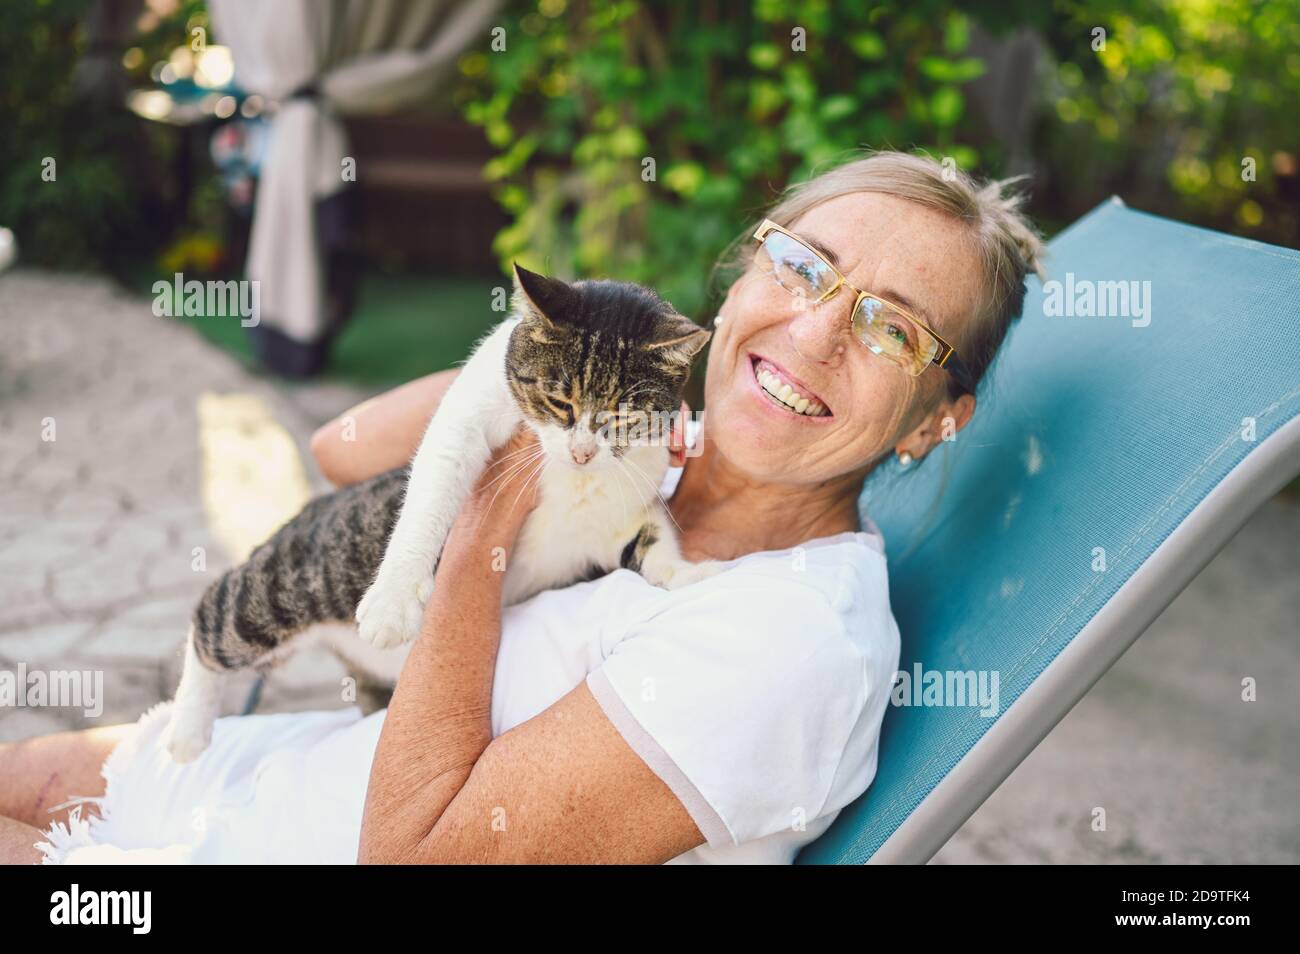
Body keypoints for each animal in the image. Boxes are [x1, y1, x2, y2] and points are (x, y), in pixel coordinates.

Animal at [162, 263, 722, 764]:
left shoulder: (625, 501)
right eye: (559, 400)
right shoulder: (471, 408)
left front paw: (692, 573)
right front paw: (393, 603)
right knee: (217, 607)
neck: (576, 478)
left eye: (624, 418)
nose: (582, 452)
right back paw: (185, 732)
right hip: (301, 580)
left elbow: (650, 537)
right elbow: (436, 481)